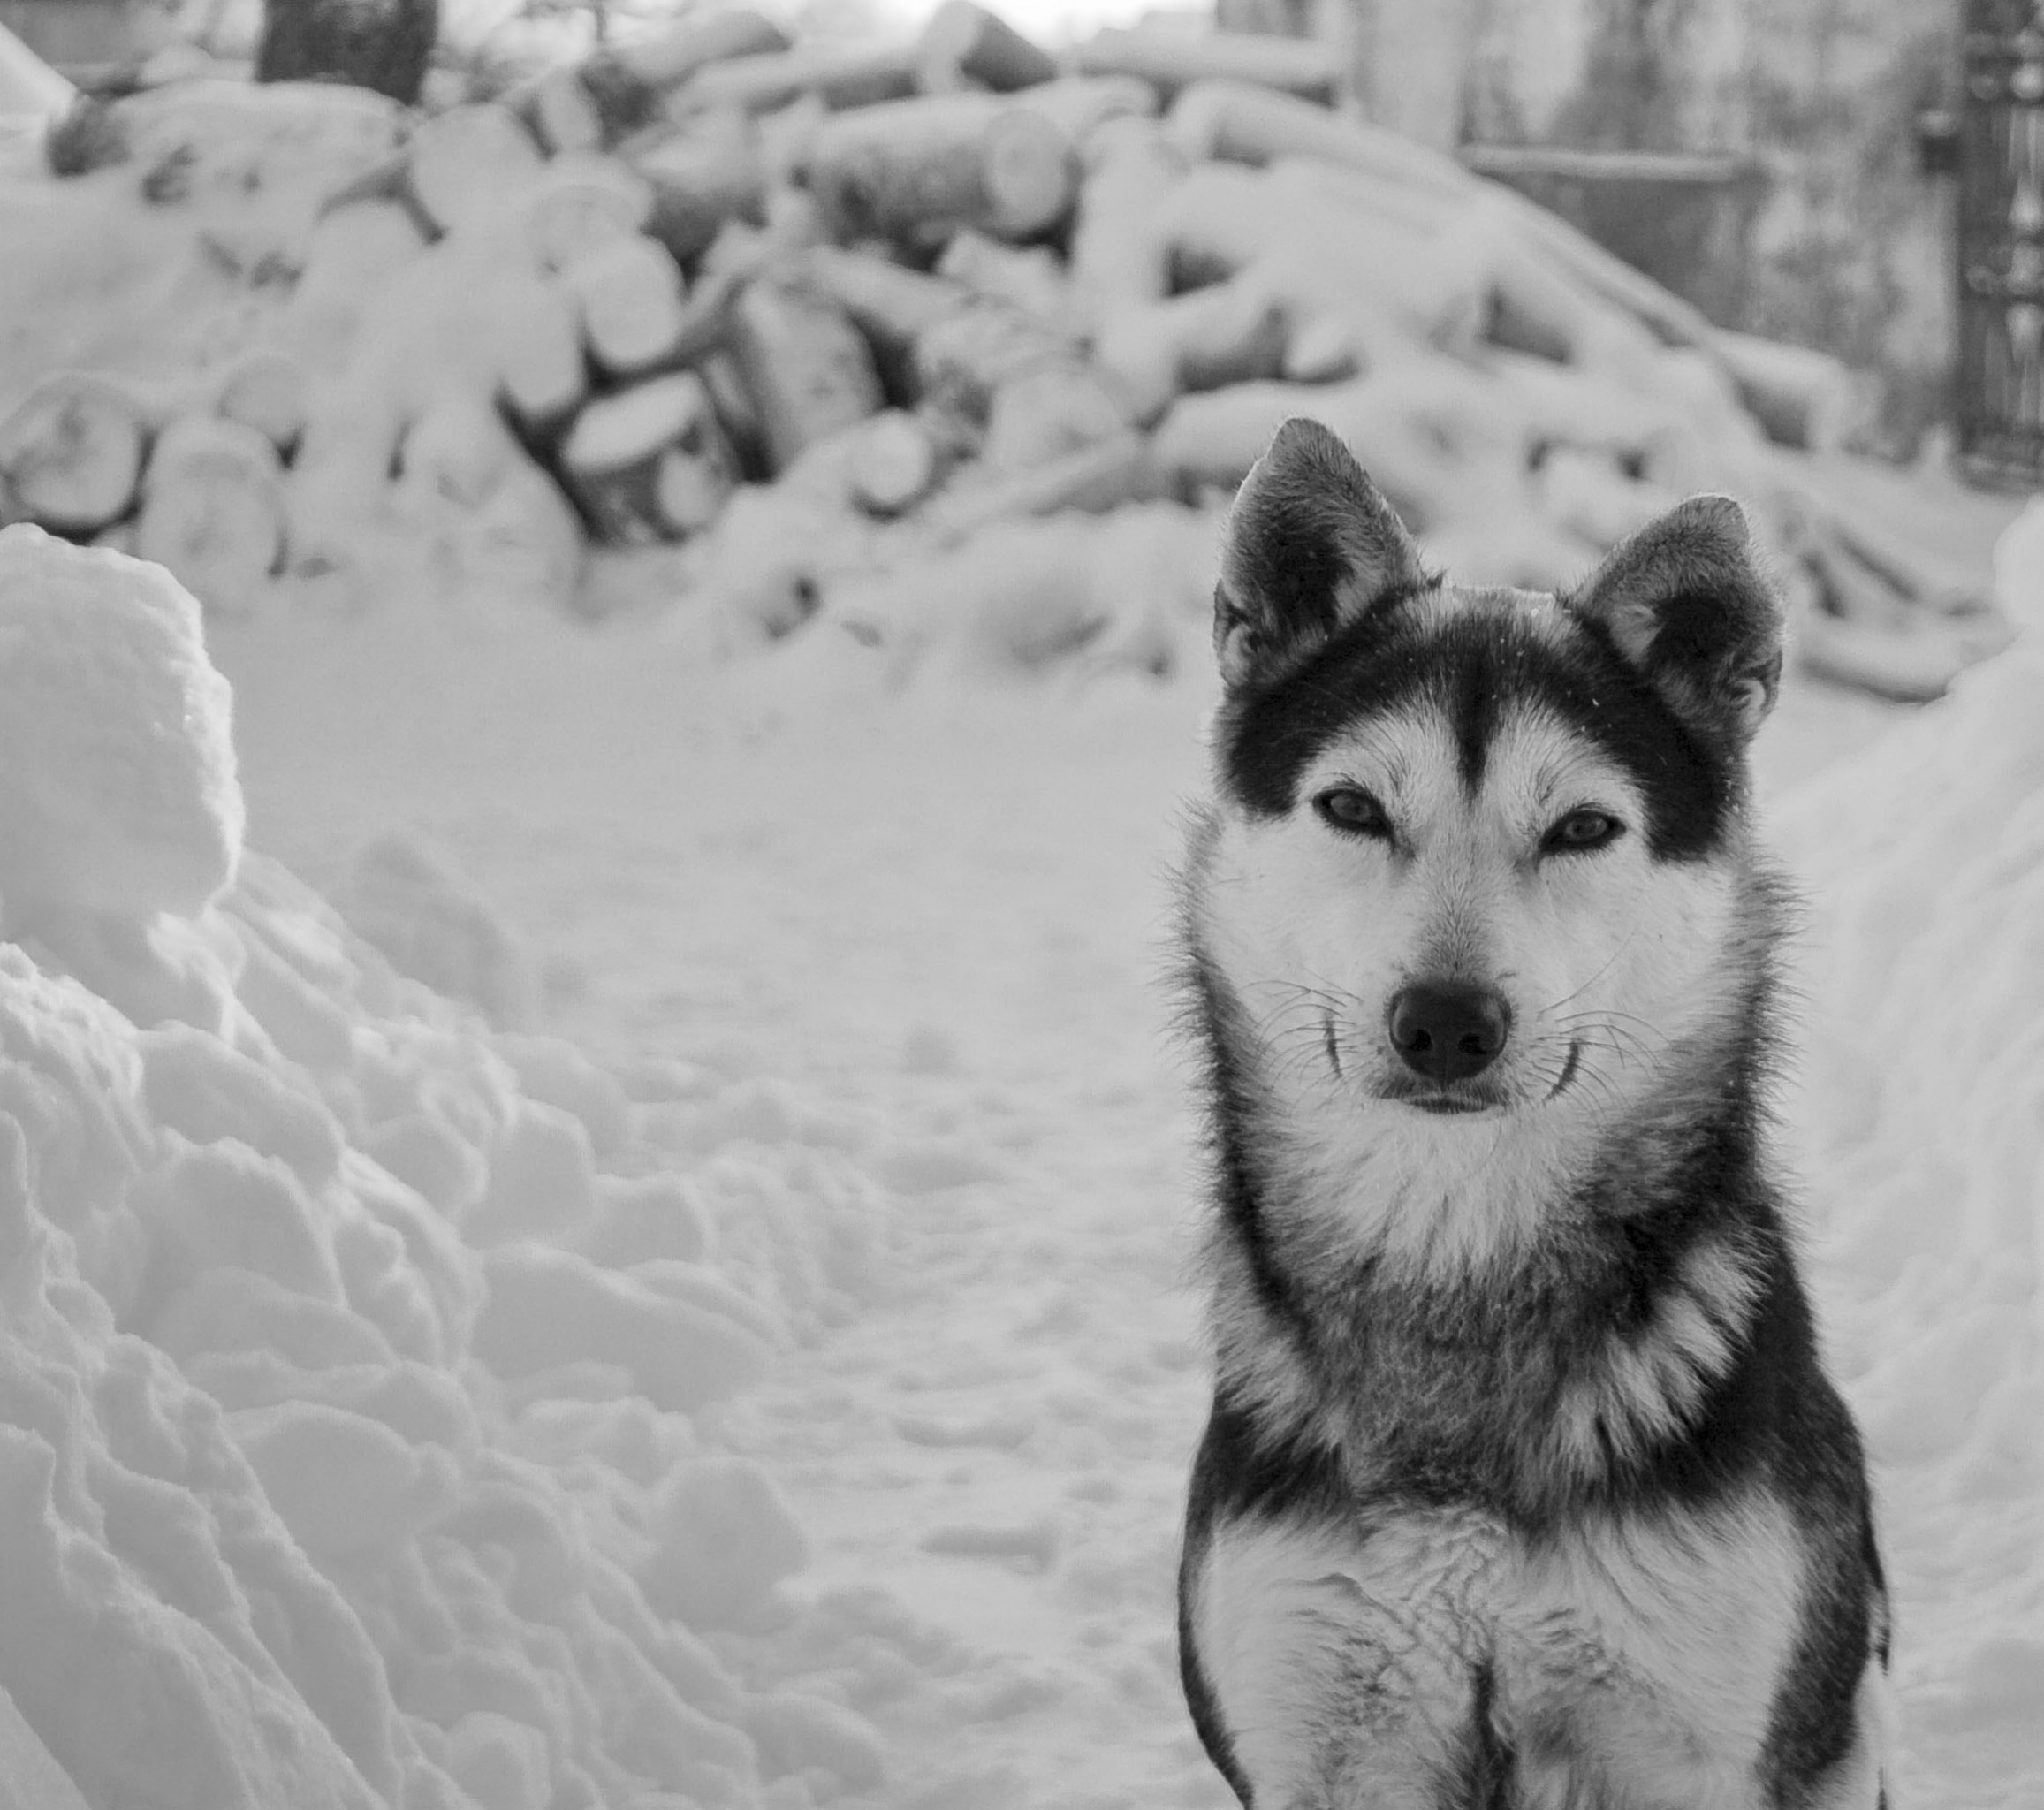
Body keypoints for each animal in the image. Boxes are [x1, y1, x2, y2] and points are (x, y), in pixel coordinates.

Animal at [1174, 417, 1889, 1810]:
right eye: (1353, 807)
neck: (1459, 1266)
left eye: (1582, 827)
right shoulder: (1320, 1738)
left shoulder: (1686, 1743)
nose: (1447, 1024)